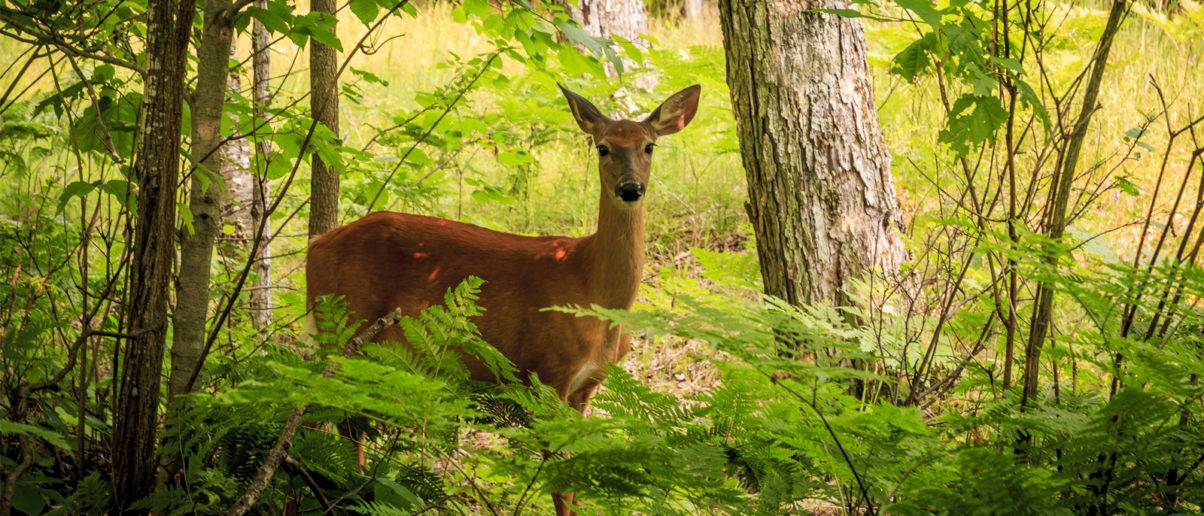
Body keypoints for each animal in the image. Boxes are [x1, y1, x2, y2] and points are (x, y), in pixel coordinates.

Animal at [305, 83, 700, 514]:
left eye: (649, 146)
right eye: (603, 147)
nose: (630, 188)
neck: (592, 288)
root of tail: (316, 244)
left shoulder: (585, 387)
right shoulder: (549, 371)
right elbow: (560, 484)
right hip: (343, 330)